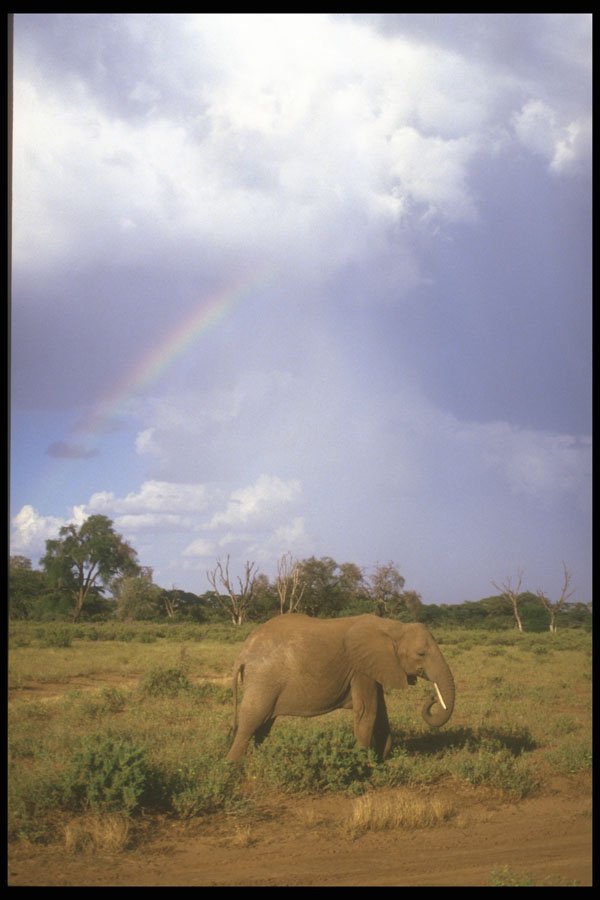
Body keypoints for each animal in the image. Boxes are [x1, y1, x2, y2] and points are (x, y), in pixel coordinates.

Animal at [226, 613, 455, 762]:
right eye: (421, 653)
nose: (433, 698)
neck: (393, 627)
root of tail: (242, 653)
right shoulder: (361, 668)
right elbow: (368, 712)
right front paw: (364, 764)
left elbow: (380, 710)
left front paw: (381, 758)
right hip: (263, 679)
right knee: (252, 720)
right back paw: (233, 768)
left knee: (263, 724)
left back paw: (260, 760)